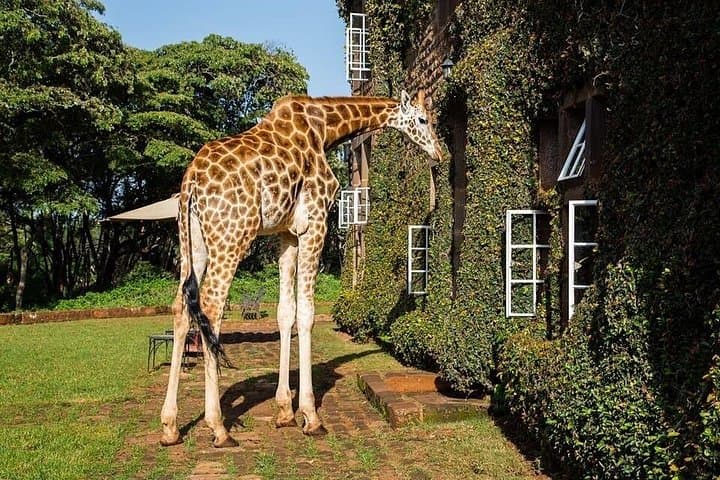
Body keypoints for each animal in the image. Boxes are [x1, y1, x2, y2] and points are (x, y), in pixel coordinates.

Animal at [160, 90, 444, 447]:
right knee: (211, 307)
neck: (326, 130)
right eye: (423, 119)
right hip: (231, 236)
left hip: (191, 242)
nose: (439, 154)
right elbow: (306, 313)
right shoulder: (315, 223)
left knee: (181, 308)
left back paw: (170, 426)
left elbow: (285, 311)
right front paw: (310, 416)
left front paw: (284, 412)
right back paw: (219, 428)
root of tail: (192, 181)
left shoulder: (286, 233)